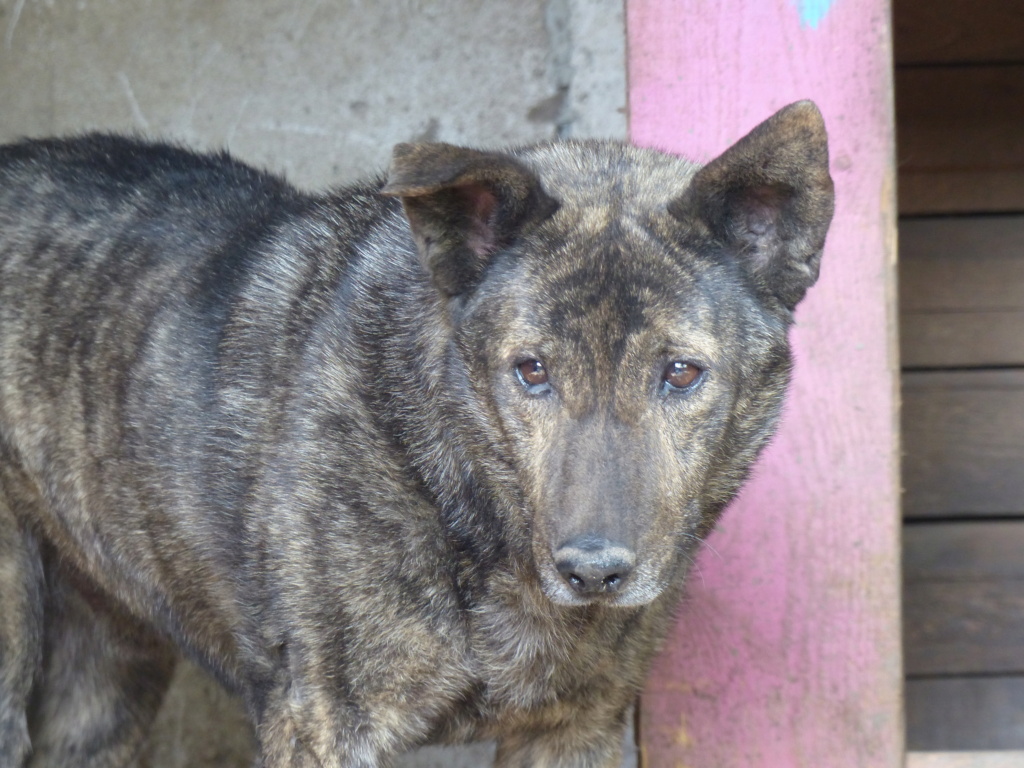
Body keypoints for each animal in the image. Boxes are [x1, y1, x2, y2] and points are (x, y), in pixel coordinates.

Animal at [0, 103, 831, 768]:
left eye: (681, 373)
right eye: (531, 371)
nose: (593, 571)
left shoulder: (573, 730)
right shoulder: (322, 729)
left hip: (106, 681)